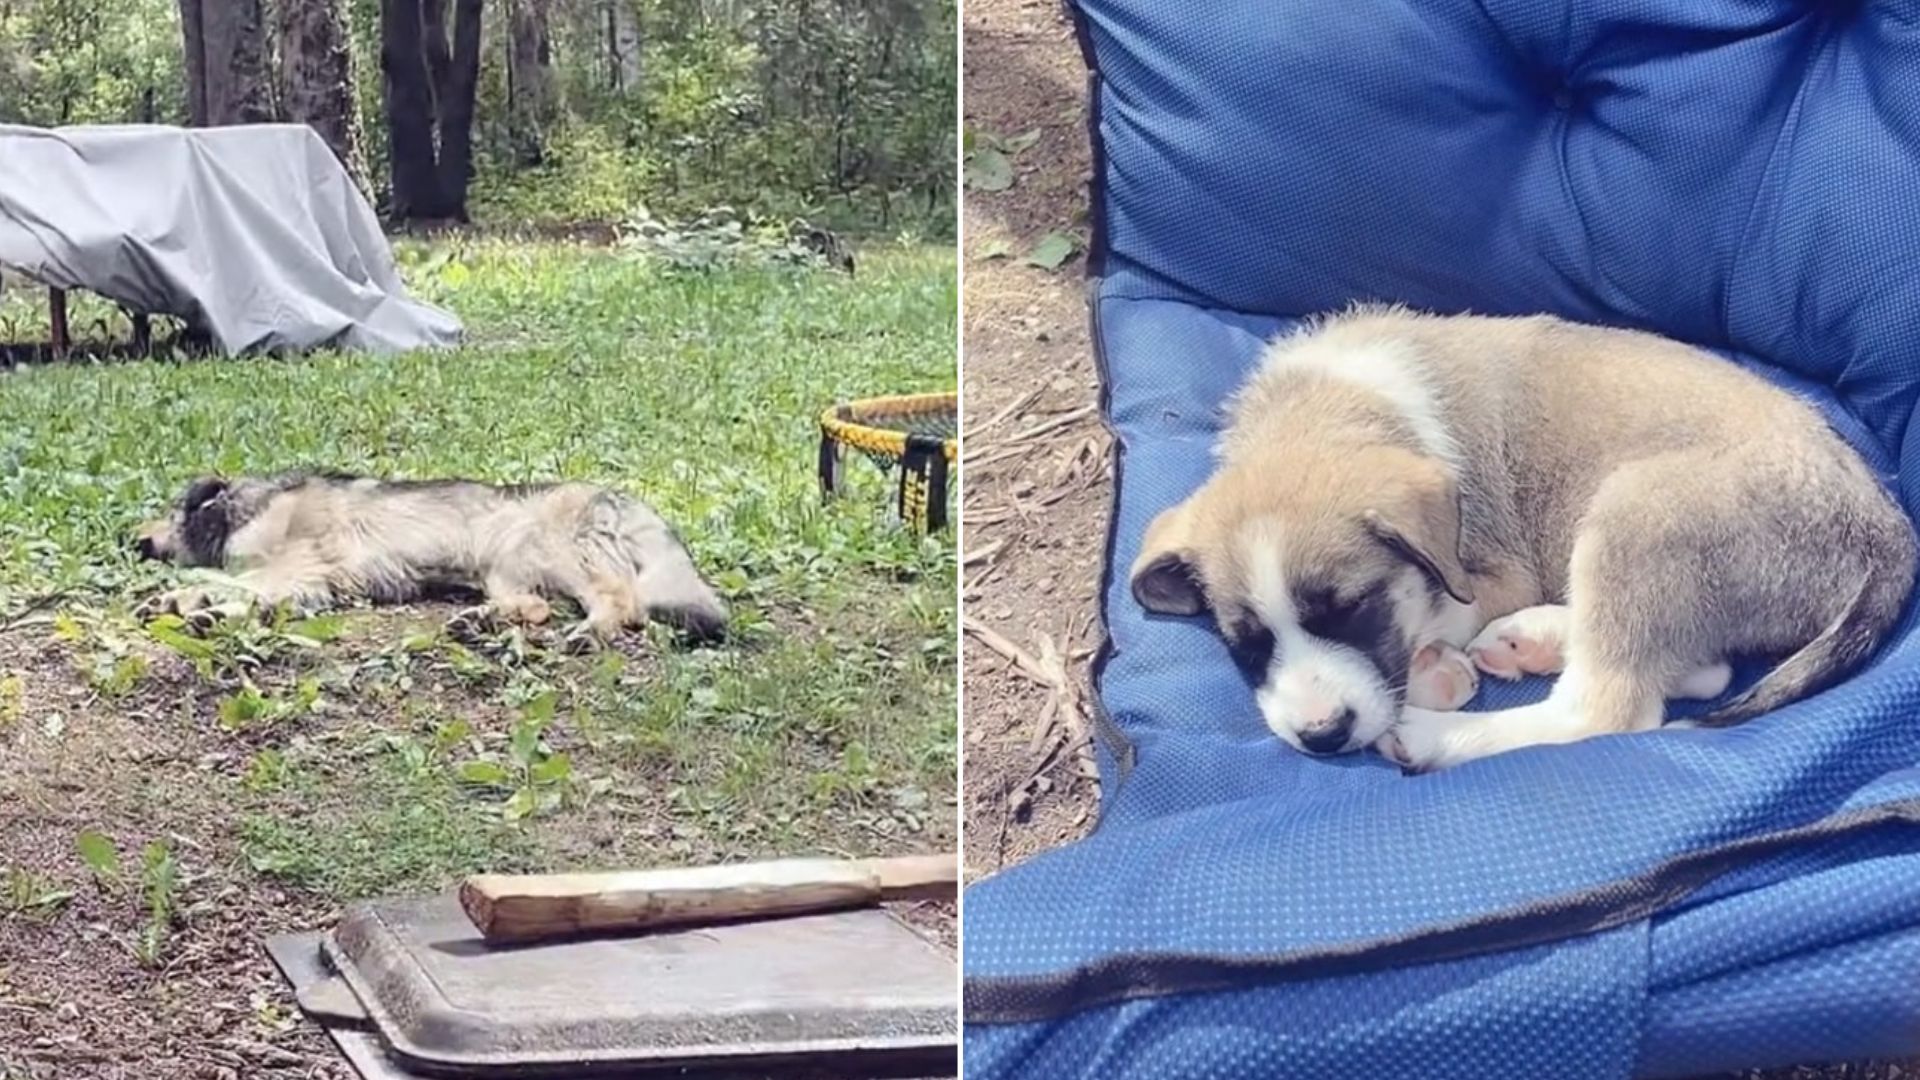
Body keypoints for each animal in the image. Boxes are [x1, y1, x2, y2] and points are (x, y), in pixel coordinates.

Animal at [129, 468, 725, 638]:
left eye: (169, 510)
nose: (133, 541)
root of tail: (617, 495)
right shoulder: (298, 581)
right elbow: (233, 590)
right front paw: (193, 606)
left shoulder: (294, 567)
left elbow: (225, 583)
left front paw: (179, 600)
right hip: (503, 571)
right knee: (534, 608)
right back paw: (478, 622)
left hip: (567, 558)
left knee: (623, 603)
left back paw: (589, 632)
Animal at [1128, 307, 1912, 768]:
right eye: (1245, 643)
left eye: (1352, 608)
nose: (1321, 737)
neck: (1329, 409)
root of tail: (1886, 525)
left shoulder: (1491, 571)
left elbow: (1436, 609)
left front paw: (1430, 675)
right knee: (1697, 665)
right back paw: (1532, 640)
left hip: (1637, 509)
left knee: (1609, 706)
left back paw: (1439, 734)